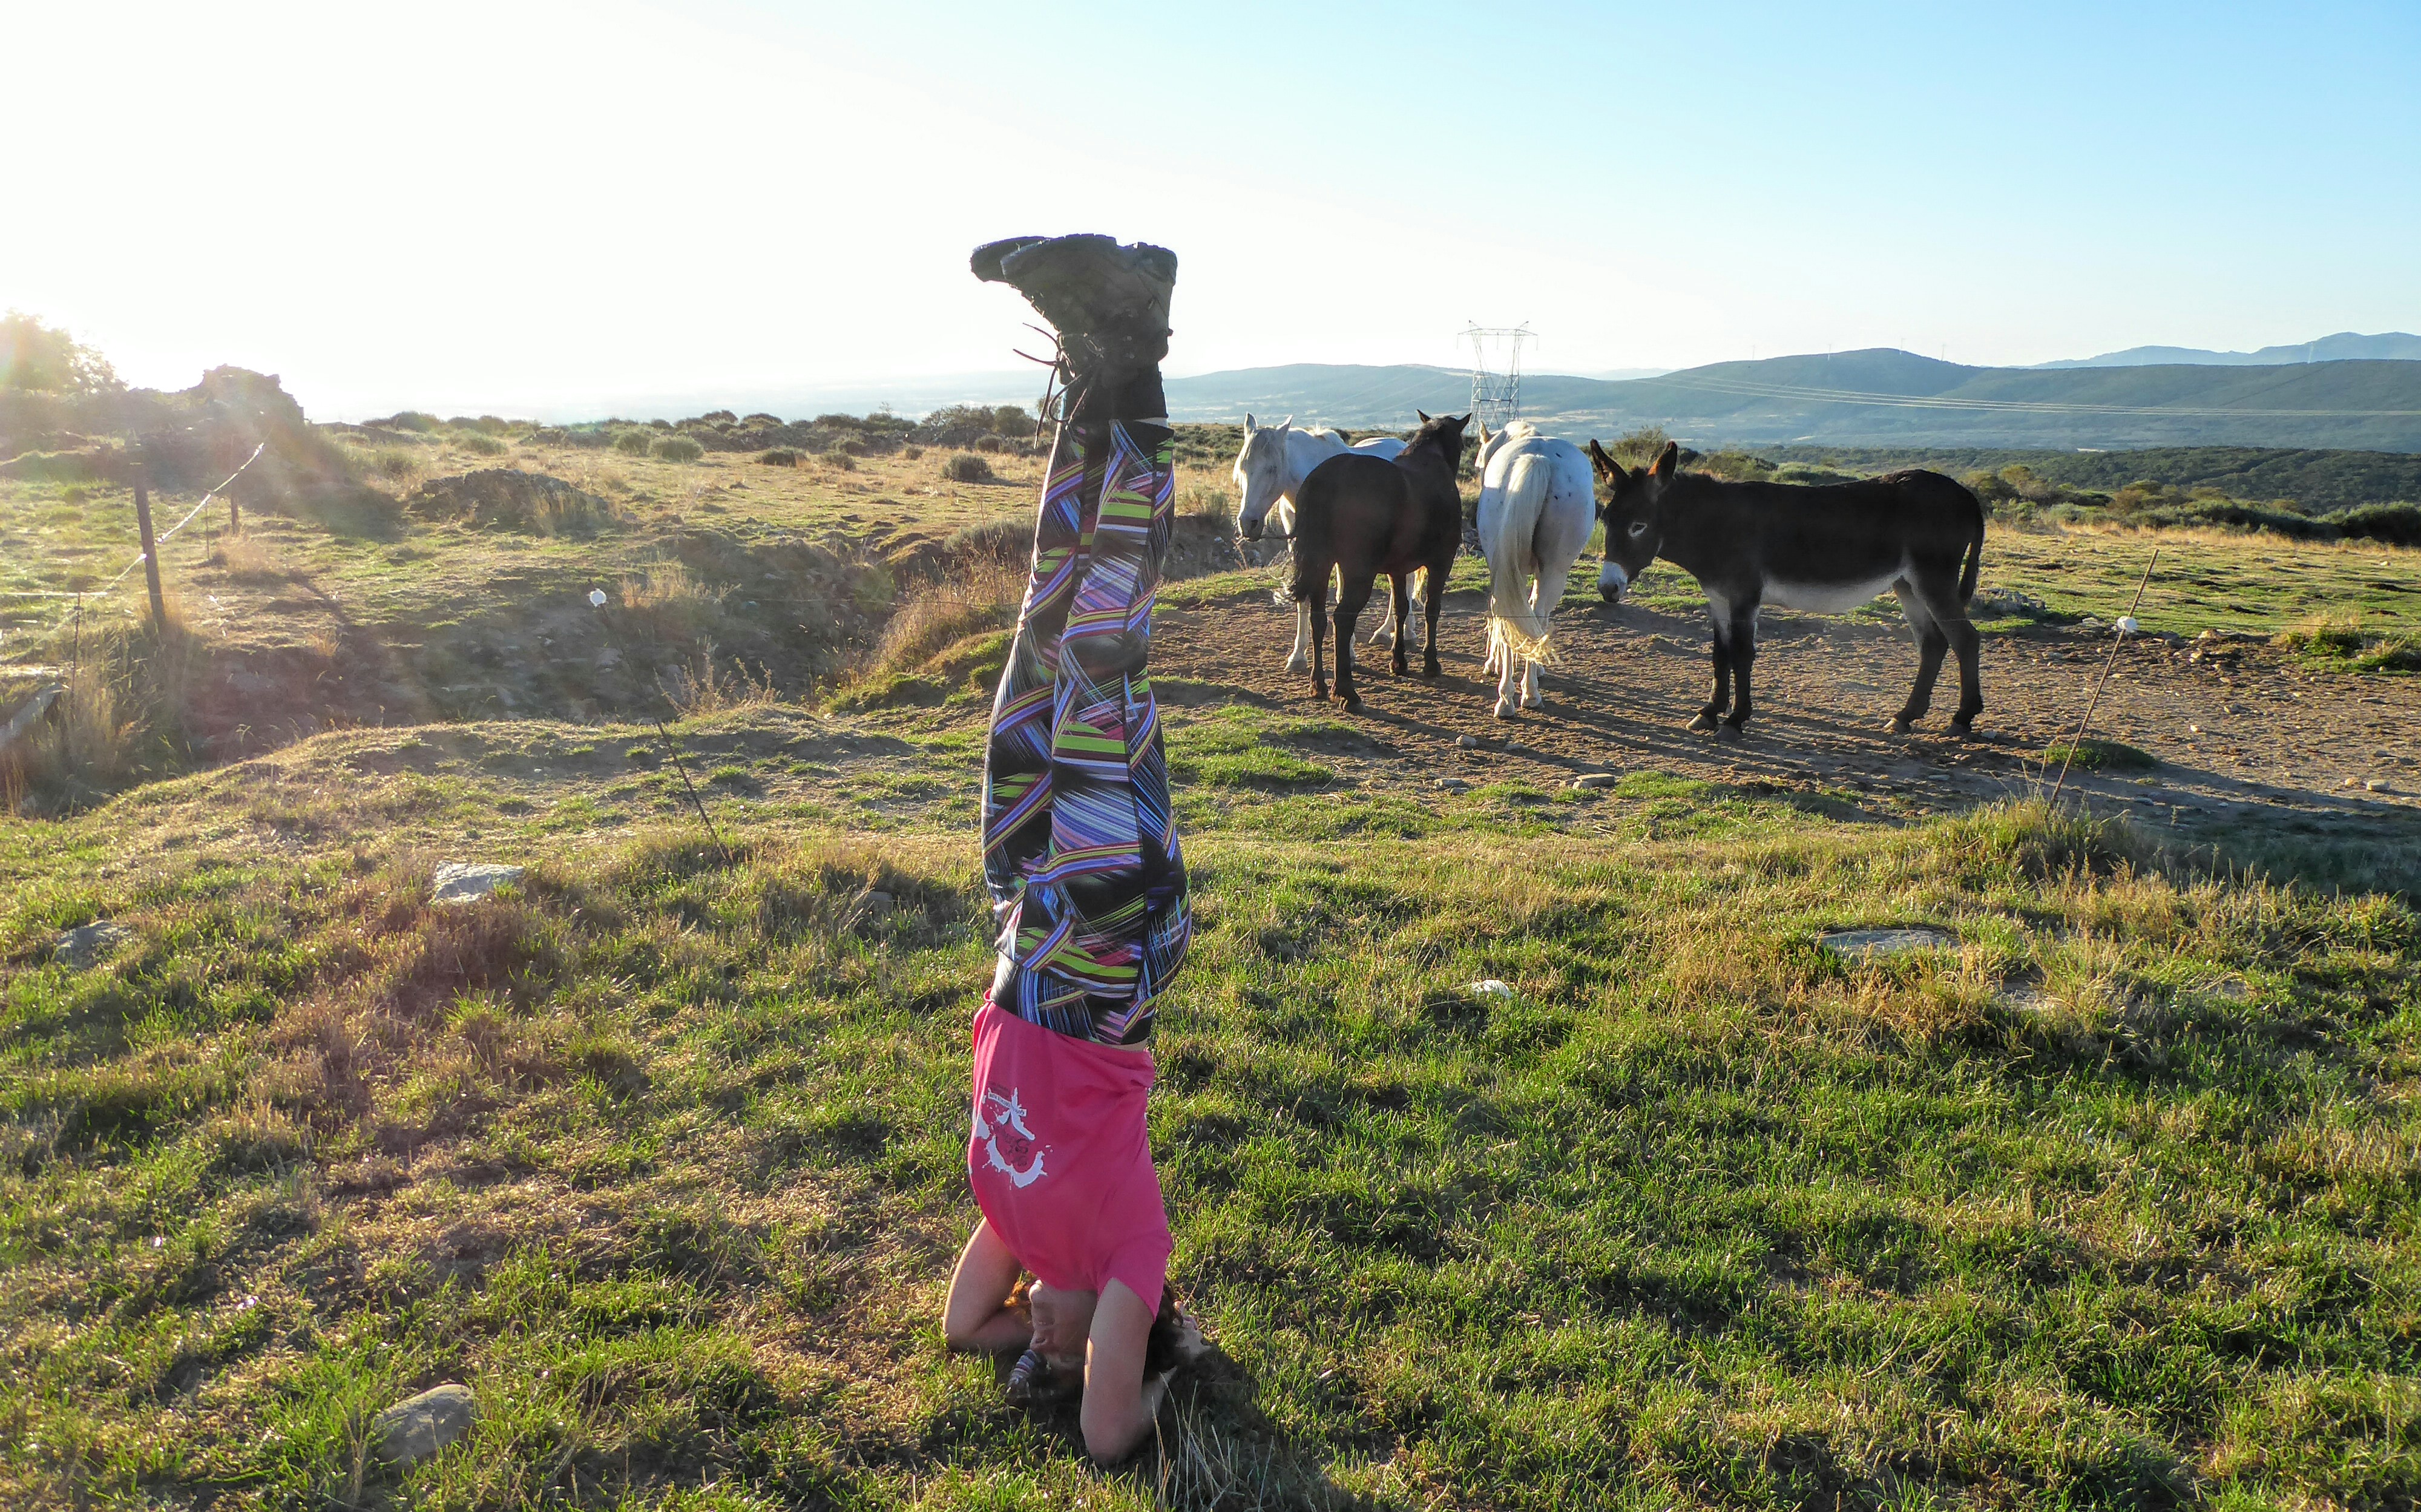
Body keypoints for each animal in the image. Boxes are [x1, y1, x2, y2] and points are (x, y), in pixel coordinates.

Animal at [1240, 416, 1414, 668]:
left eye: (1272, 468)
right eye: (1243, 467)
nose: (1247, 523)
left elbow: (1342, 598)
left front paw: (1348, 653)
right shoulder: (1302, 548)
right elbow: (1303, 597)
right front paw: (1298, 655)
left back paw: (1407, 632)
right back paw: (1385, 631)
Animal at [1298, 409, 1462, 712]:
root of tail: (1328, 476)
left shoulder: (1397, 569)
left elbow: (1401, 609)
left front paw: (1399, 661)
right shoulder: (1441, 562)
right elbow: (1432, 609)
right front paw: (1431, 663)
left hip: (1322, 563)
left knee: (1319, 618)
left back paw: (1319, 684)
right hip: (1358, 572)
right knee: (1342, 620)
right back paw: (1346, 692)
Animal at [1462, 416, 1598, 717]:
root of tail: (1539, 459)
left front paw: (1495, 664)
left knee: (1515, 614)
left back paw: (1509, 697)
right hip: (1554, 572)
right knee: (1535, 614)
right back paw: (1527, 691)